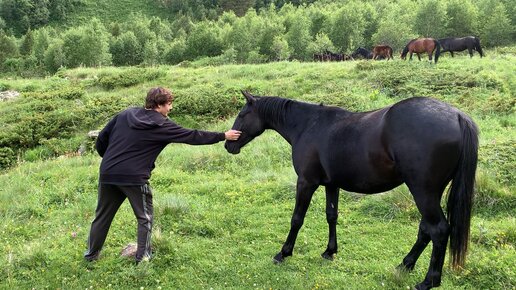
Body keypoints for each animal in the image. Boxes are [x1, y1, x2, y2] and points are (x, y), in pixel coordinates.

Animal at [227, 91, 480, 290]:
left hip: (423, 191)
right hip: (431, 193)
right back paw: (405, 264)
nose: (229, 144)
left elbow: (297, 218)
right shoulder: (332, 184)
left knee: (438, 230)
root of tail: (458, 116)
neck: (308, 125)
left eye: (241, 115)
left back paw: (429, 281)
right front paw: (330, 251)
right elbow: (331, 216)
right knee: (426, 229)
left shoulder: (306, 182)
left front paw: (284, 252)